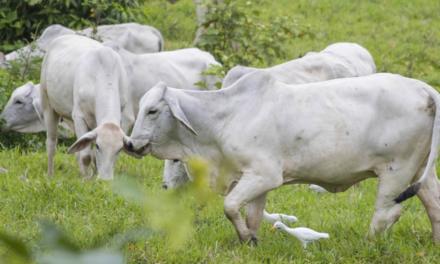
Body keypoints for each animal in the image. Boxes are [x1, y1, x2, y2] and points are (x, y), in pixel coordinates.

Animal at [41, 34, 220, 179]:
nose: (105, 180)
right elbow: (86, 154)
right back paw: (50, 175)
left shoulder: (125, 116)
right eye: (99, 146)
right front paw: (87, 179)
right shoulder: (79, 116)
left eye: (118, 150)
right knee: (51, 143)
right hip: (48, 104)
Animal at [123, 71, 440, 244]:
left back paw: (369, 242)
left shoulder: (264, 175)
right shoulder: (254, 179)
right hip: (419, 171)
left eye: (152, 110)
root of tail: (424, 88)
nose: (130, 144)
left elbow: (230, 206)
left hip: (396, 171)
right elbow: (251, 214)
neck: (225, 117)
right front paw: (250, 240)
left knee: (387, 213)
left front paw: (246, 237)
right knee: (434, 206)